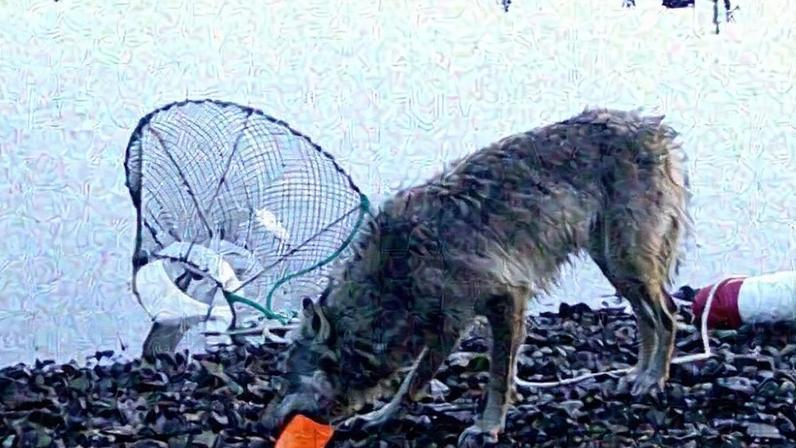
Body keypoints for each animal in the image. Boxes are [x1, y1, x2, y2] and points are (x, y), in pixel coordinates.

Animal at [262, 108, 691, 446]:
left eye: (284, 377)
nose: (264, 423)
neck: (395, 273)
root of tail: (655, 128)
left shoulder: (506, 300)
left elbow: (498, 376)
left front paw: (487, 427)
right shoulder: (447, 325)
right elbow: (413, 381)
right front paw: (380, 418)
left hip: (626, 262)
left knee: (668, 314)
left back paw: (653, 380)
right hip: (616, 268)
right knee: (647, 317)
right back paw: (637, 376)